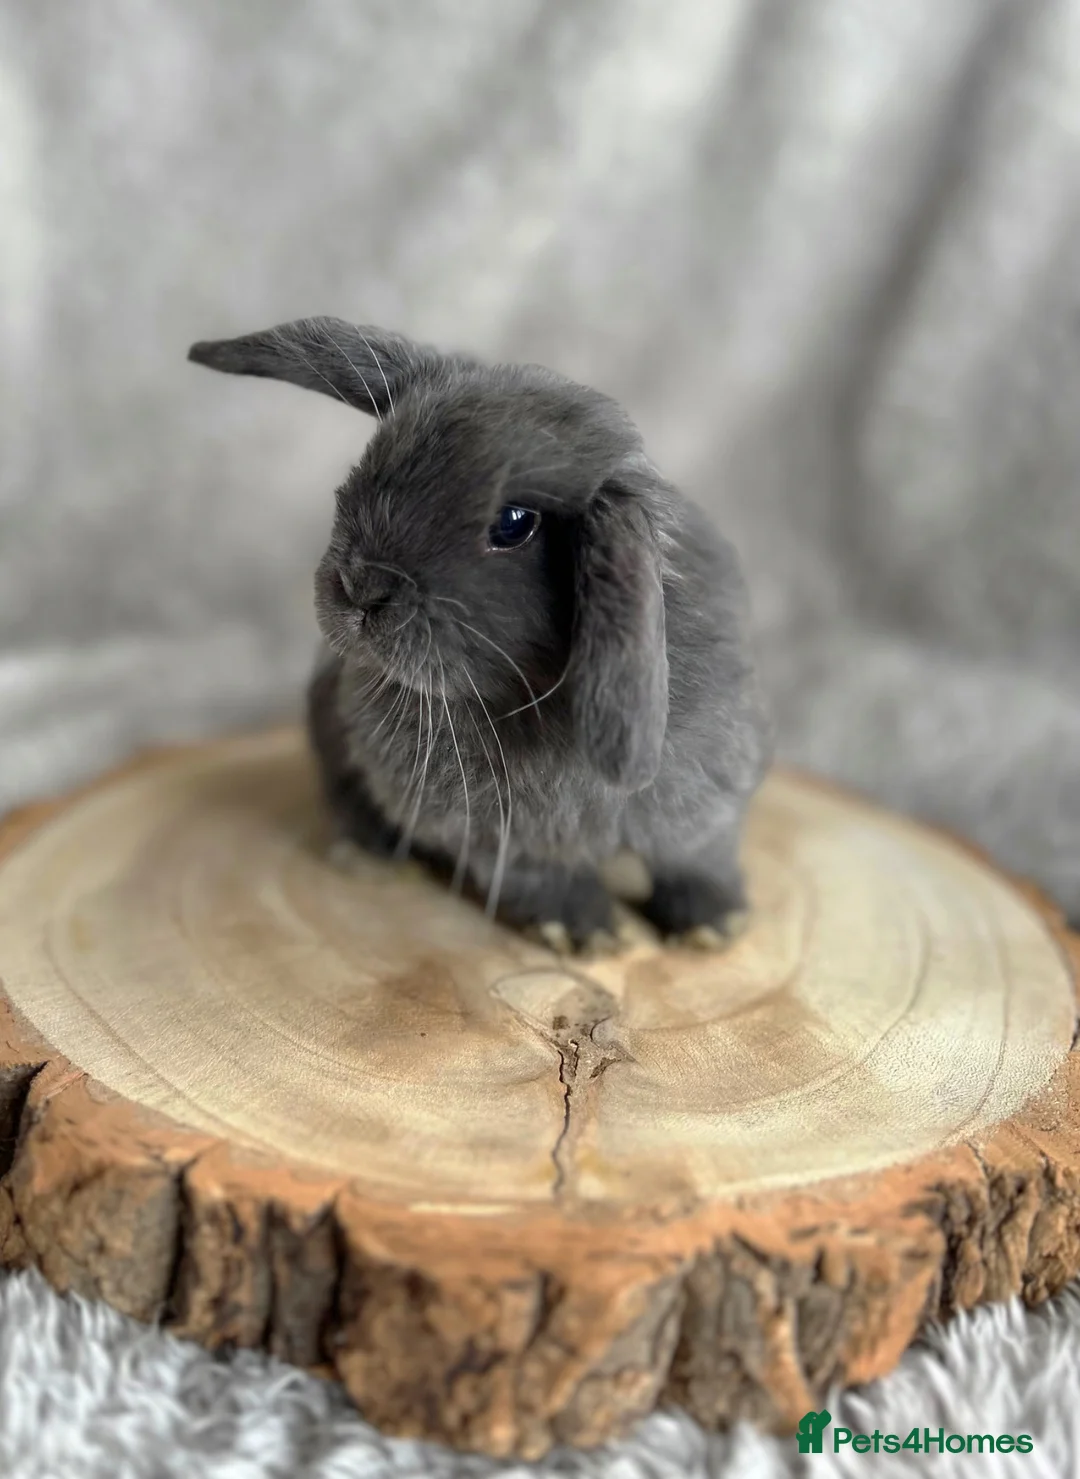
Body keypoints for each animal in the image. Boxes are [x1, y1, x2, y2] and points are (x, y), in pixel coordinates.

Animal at [188, 317, 772, 954]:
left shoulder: (708, 799)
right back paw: (369, 858)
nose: (359, 586)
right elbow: (538, 876)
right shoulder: (490, 833)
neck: (527, 697)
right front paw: (586, 931)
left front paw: (715, 924)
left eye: (513, 524)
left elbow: (698, 858)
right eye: (372, 461)